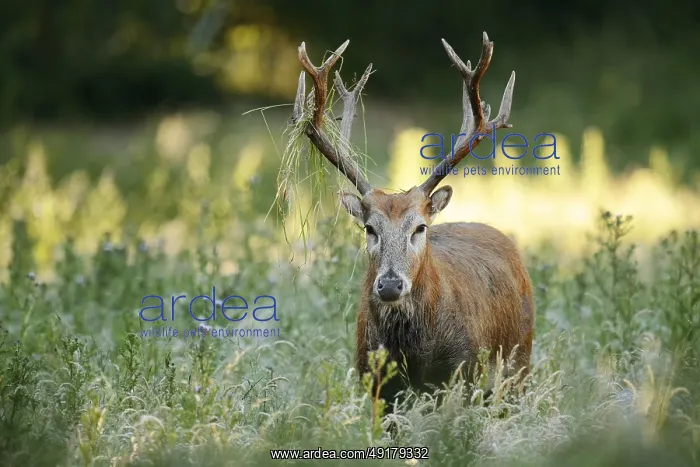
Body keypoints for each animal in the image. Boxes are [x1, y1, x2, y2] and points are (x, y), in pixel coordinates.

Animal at [290, 32, 534, 413]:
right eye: (370, 228)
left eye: (420, 227)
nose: (390, 285)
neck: (413, 353)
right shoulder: (374, 379)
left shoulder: (462, 370)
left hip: (519, 361)